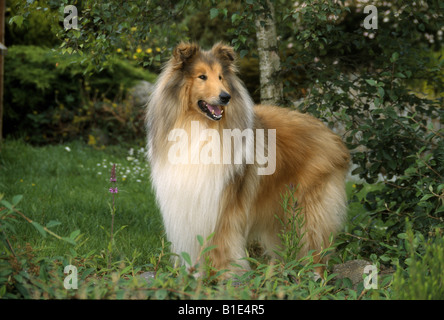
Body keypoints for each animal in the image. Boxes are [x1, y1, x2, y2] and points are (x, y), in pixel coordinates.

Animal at [147, 42, 350, 276]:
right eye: (202, 76)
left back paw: (314, 274)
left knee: (315, 241)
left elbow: (220, 247)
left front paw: (222, 276)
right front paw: (198, 276)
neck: (198, 125)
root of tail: (333, 136)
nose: (226, 97)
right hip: (280, 212)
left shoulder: (222, 209)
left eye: (220, 77)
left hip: (308, 207)